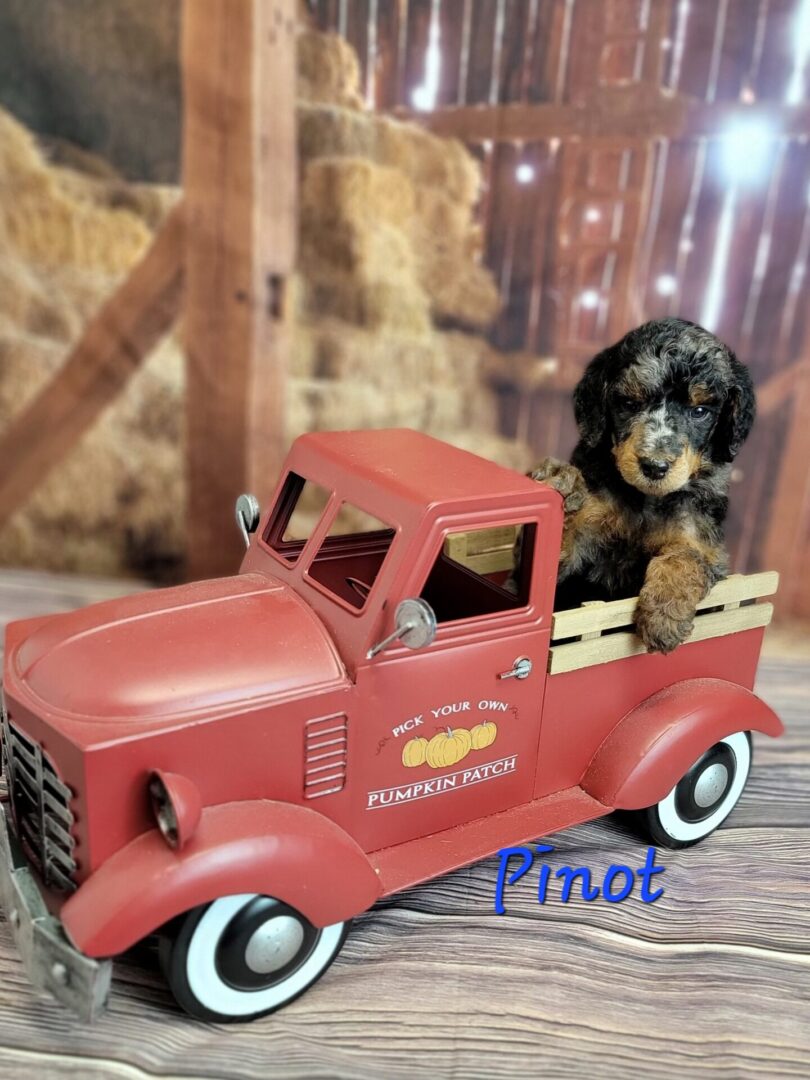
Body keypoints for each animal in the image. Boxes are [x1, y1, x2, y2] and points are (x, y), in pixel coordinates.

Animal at [535, 315, 760, 652]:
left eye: (699, 411)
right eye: (630, 403)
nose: (655, 466)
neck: (647, 500)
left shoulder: (704, 539)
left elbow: (687, 556)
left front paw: (664, 618)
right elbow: (559, 549)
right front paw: (562, 484)